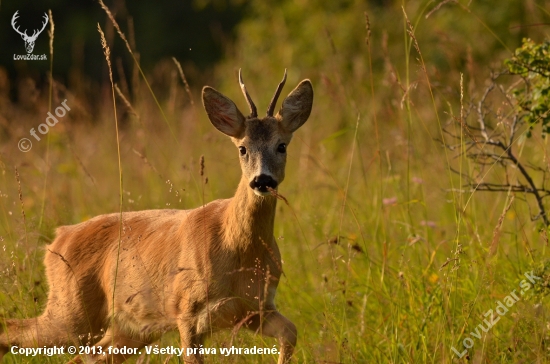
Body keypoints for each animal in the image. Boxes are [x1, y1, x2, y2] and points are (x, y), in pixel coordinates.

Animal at [0, 69, 314, 364]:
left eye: (282, 146)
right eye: (242, 148)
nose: (262, 180)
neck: (238, 251)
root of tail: (58, 238)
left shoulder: (255, 308)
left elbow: (291, 333)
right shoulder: (187, 310)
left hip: (127, 328)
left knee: (86, 356)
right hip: (71, 312)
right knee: (13, 329)